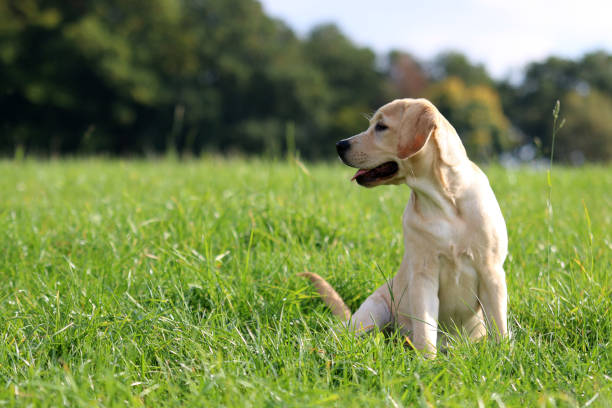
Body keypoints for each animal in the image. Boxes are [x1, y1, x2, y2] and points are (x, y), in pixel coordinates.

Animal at [300, 98, 506, 356]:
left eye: (381, 127)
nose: (339, 145)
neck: (444, 201)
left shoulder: (491, 270)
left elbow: (499, 324)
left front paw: (505, 354)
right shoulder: (423, 274)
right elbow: (426, 327)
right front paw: (427, 360)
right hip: (372, 311)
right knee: (341, 334)